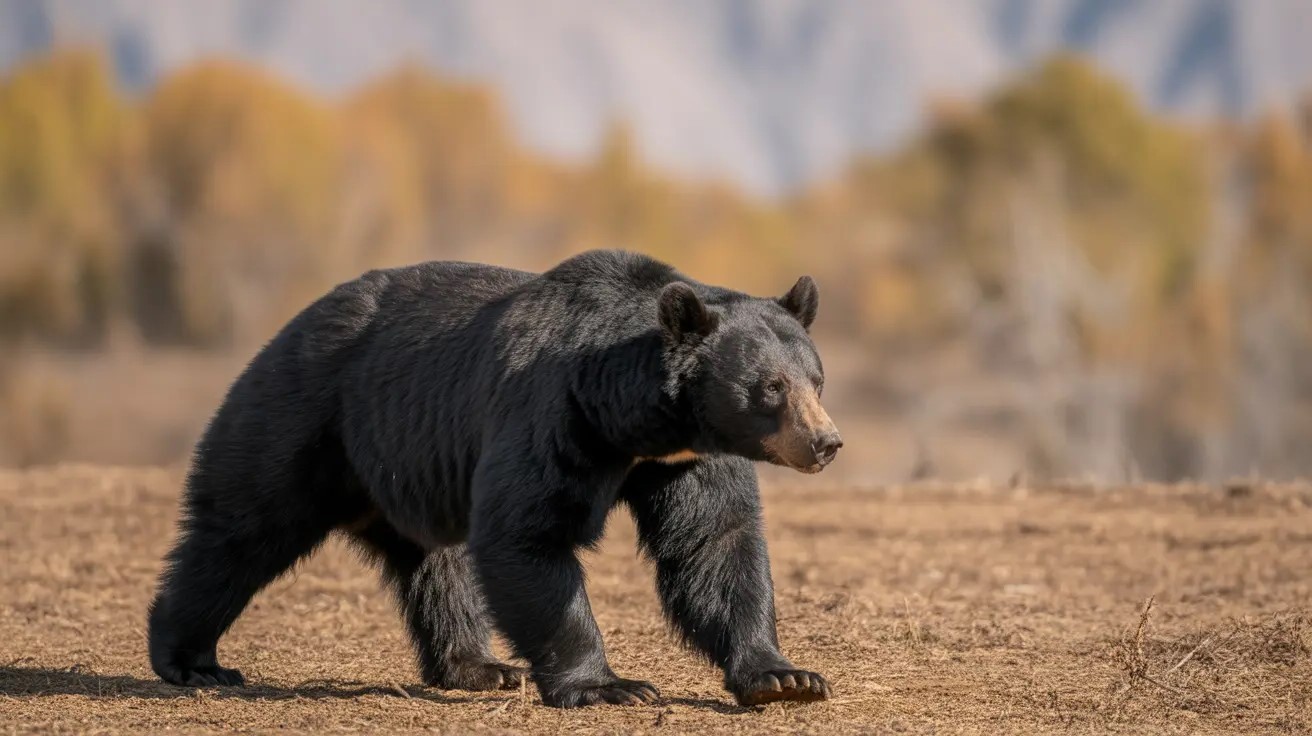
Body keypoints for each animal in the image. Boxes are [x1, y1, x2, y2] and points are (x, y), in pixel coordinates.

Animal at [147, 249, 843, 708]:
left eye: (815, 379)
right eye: (770, 387)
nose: (826, 443)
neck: (639, 422)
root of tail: (290, 324)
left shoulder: (688, 459)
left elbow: (714, 544)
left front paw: (786, 678)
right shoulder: (553, 414)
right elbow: (528, 533)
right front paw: (611, 685)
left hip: (411, 466)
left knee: (438, 567)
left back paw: (477, 666)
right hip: (302, 415)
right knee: (243, 527)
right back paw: (191, 659)